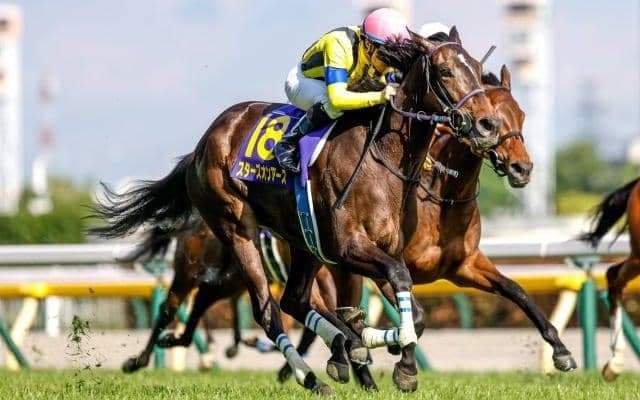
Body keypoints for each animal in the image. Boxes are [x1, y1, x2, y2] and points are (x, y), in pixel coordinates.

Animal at [89, 28, 501, 394]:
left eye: (478, 70)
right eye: (445, 72)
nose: (488, 124)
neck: (384, 156)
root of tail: (204, 142)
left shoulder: (382, 250)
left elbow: (414, 310)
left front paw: (381, 347)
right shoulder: (350, 248)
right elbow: (399, 283)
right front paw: (395, 361)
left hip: (302, 241)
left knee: (291, 300)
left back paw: (340, 348)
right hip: (235, 229)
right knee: (265, 310)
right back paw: (311, 376)